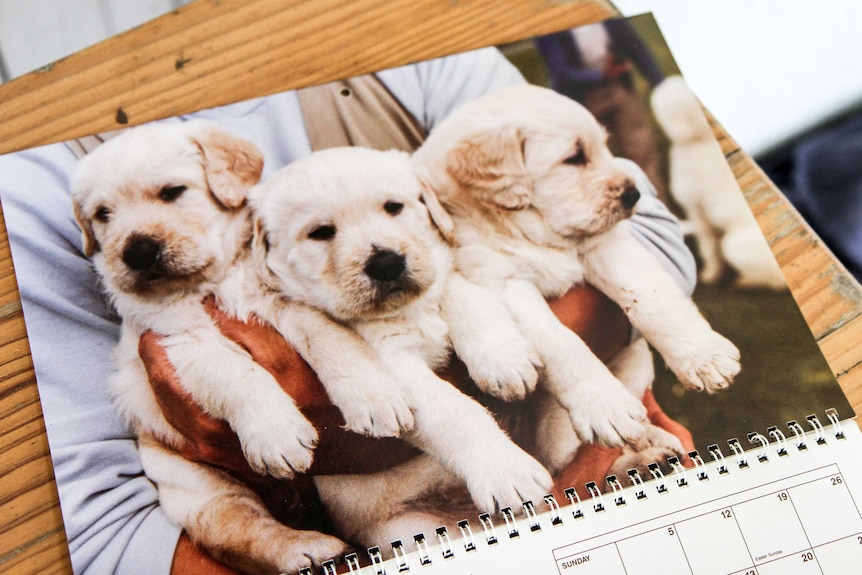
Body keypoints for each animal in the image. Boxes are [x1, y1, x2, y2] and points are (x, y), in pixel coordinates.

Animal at [71, 120, 418, 572]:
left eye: (171, 192)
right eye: (103, 215)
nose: (137, 252)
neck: (215, 279)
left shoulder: (289, 303)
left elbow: (333, 342)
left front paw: (374, 399)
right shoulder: (180, 340)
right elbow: (238, 375)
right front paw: (276, 435)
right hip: (192, 482)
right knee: (233, 527)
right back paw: (304, 549)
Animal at [251, 146, 552, 516]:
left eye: (393, 207)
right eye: (320, 232)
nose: (387, 263)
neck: (406, 311)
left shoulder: (438, 276)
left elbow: (461, 293)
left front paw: (502, 359)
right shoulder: (395, 365)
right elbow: (456, 411)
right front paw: (506, 470)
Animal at [412, 84, 744, 472]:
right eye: (573, 158)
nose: (634, 194)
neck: (533, 230)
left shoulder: (604, 245)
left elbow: (651, 297)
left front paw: (704, 358)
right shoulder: (502, 280)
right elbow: (561, 341)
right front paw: (605, 405)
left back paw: (656, 449)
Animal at [656, 76, 788, 290]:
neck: (700, 140)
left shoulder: (696, 208)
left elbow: (709, 246)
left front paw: (711, 275)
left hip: (734, 246)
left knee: (774, 282)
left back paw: (745, 281)